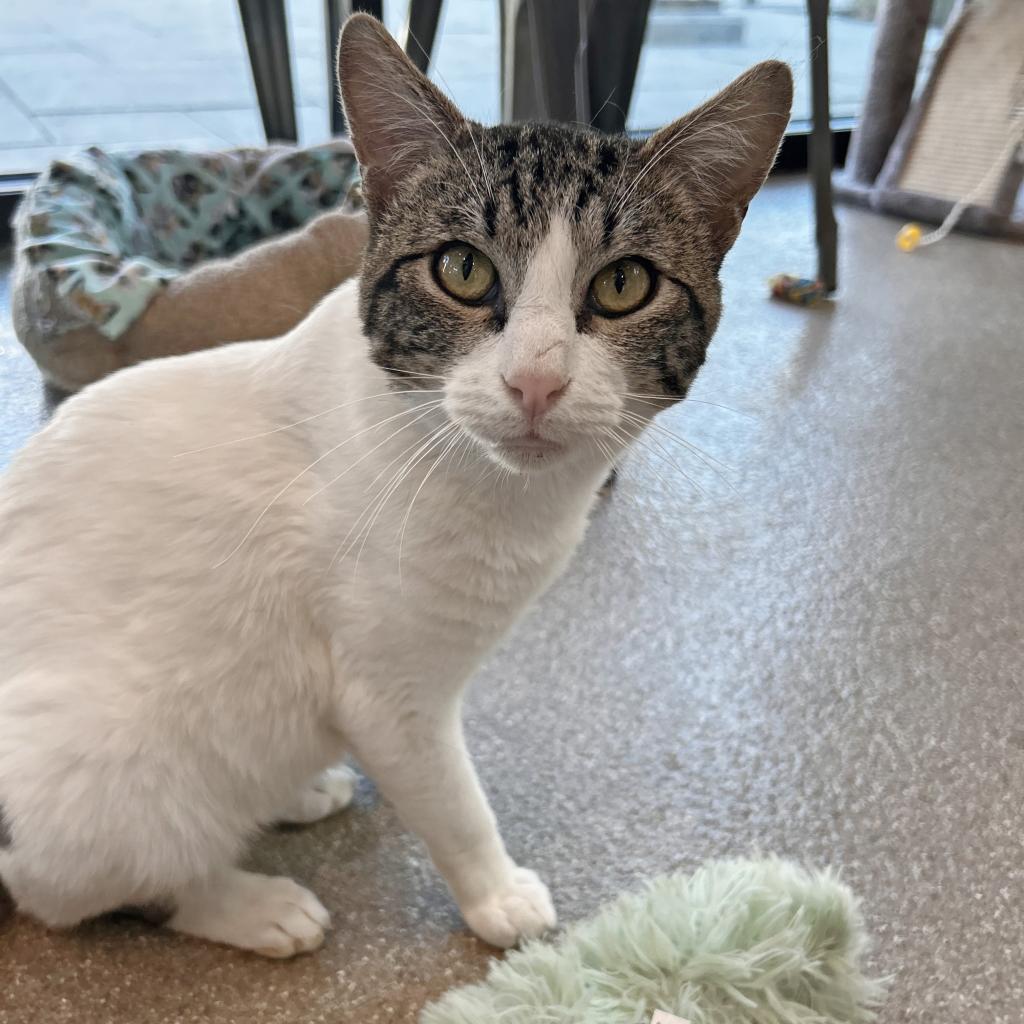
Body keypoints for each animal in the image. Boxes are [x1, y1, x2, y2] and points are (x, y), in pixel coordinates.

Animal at [0, 16, 790, 958]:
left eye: (623, 283)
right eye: (462, 269)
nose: (536, 381)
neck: (498, 496)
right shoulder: (389, 694)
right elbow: (452, 800)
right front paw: (496, 893)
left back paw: (299, 789)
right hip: (106, 770)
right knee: (79, 885)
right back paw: (251, 902)